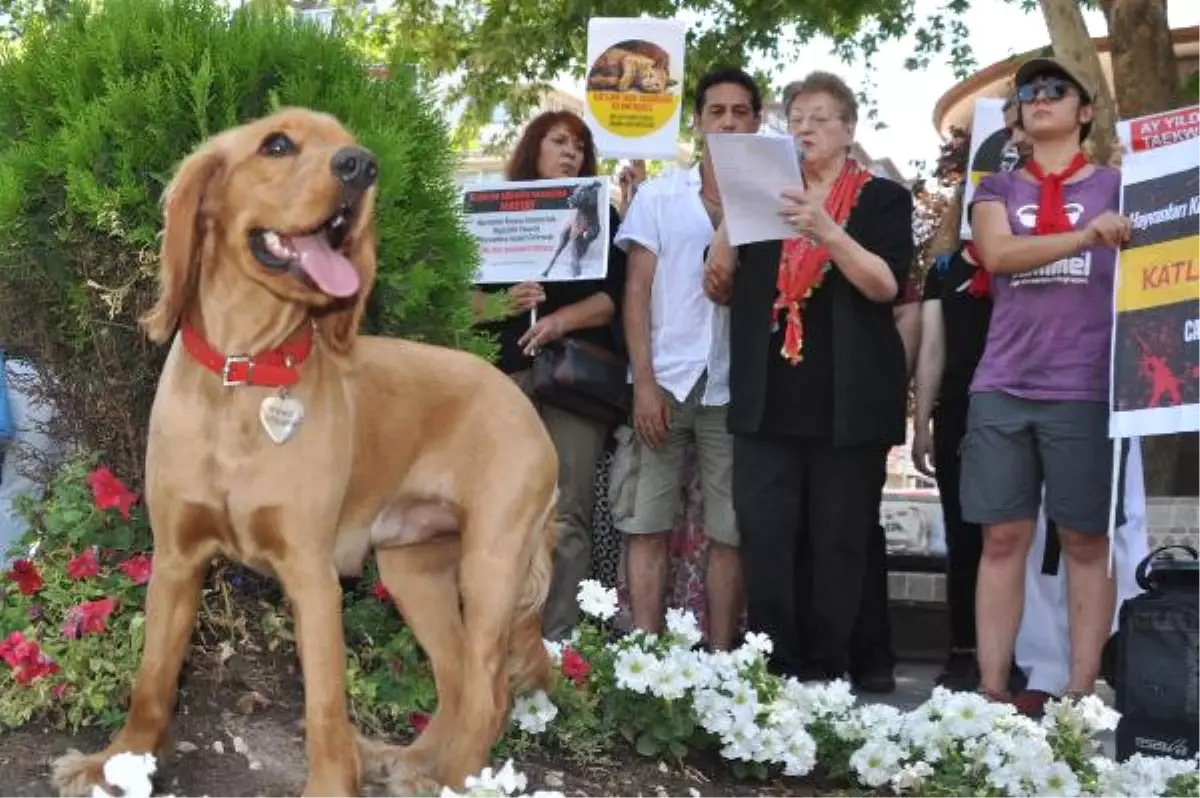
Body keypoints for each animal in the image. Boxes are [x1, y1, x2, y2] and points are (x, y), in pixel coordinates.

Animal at [46, 107, 552, 796]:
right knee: (454, 681)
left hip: (490, 565)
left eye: (350, 146)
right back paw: (411, 763)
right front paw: (116, 759)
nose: (363, 167)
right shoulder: (176, 559)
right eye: (277, 144)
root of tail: (522, 396)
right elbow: (153, 678)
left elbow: (325, 709)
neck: (244, 374)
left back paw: (449, 779)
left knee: (488, 693)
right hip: (413, 570)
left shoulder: (313, 577)